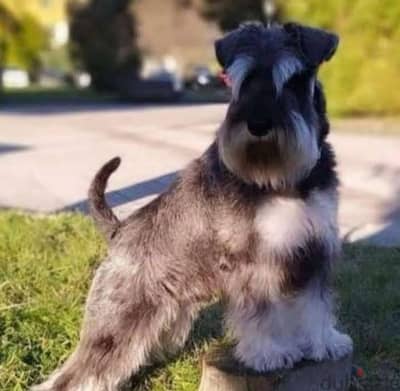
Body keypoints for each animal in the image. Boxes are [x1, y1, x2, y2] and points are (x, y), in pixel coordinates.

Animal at [34, 22, 354, 391]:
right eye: (241, 81)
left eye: (292, 79)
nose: (257, 124)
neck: (285, 181)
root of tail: (119, 230)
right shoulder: (254, 264)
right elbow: (262, 315)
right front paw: (268, 353)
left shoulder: (313, 254)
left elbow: (315, 306)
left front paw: (325, 342)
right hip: (116, 320)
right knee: (75, 374)